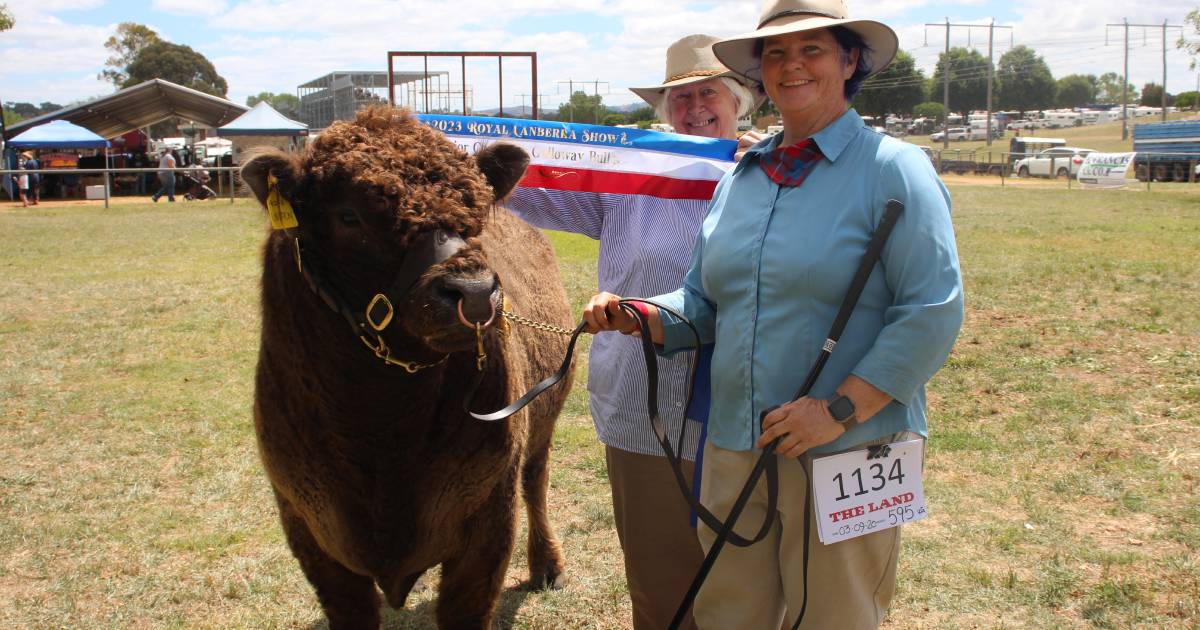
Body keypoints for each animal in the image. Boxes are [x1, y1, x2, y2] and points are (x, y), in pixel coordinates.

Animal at [242, 105, 571, 624]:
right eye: (349, 215)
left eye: (476, 209)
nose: (475, 293)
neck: (383, 431)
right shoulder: (309, 529)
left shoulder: (487, 522)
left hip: (543, 425)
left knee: (535, 483)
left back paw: (546, 564)